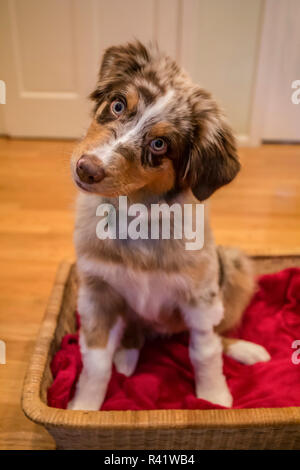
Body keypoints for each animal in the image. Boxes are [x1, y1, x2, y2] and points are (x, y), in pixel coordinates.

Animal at [68, 42, 270, 410]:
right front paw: (84, 409)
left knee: (221, 336)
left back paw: (246, 350)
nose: (86, 169)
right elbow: (96, 360)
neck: (137, 215)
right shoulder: (96, 293)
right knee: (132, 333)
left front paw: (214, 399)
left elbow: (205, 352)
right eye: (118, 105)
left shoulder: (201, 298)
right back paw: (127, 356)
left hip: (234, 269)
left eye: (159, 144)